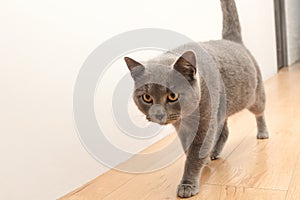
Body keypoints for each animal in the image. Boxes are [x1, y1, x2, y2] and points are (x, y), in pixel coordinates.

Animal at [123, 0, 268, 198]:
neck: (187, 117)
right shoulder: (183, 127)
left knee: (259, 112)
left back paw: (262, 133)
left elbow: (194, 154)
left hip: (254, 95)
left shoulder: (205, 123)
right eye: (147, 97)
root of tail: (232, 41)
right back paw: (214, 152)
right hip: (221, 109)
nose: (158, 114)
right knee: (224, 130)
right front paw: (204, 160)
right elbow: (188, 148)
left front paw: (187, 185)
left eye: (172, 95)